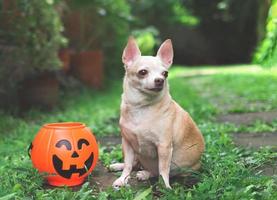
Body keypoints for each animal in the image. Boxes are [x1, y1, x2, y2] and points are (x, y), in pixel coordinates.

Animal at [109, 37, 204, 189]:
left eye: (165, 73)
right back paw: (119, 166)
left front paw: (165, 187)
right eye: (143, 72)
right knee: (134, 163)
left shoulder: (164, 147)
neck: (141, 107)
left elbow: (163, 169)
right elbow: (128, 164)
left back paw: (145, 173)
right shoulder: (127, 143)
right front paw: (123, 179)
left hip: (185, 170)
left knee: (154, 170)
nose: (160, 80)